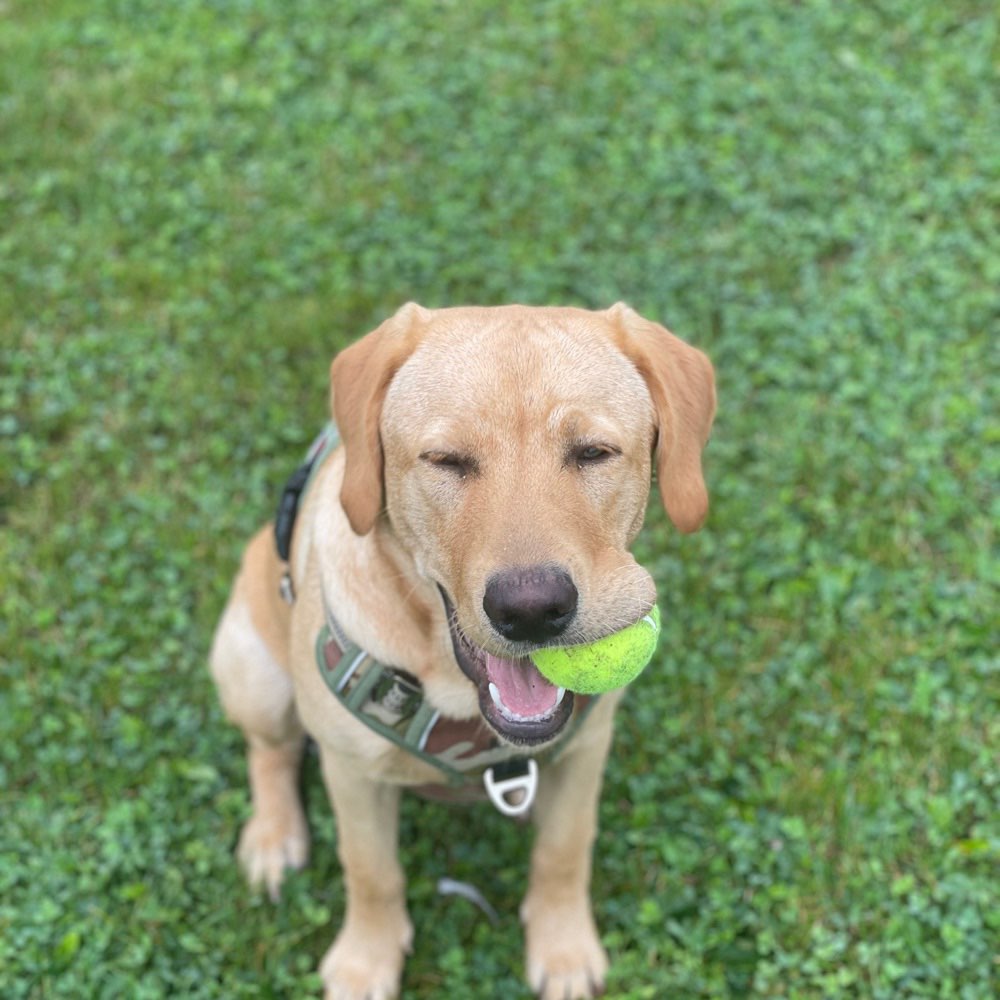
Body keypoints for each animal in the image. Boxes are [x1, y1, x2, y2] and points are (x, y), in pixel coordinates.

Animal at [207, 302, 716, 1000]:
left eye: (594, 453)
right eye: (446, 460)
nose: (531, 609)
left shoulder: (585, 752)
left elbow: (564, 851)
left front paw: (562, 947)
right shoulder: (351, 771)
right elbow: (371, 872)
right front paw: (365, 962)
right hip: (253, 669)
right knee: (271, 752)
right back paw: (272, 837)